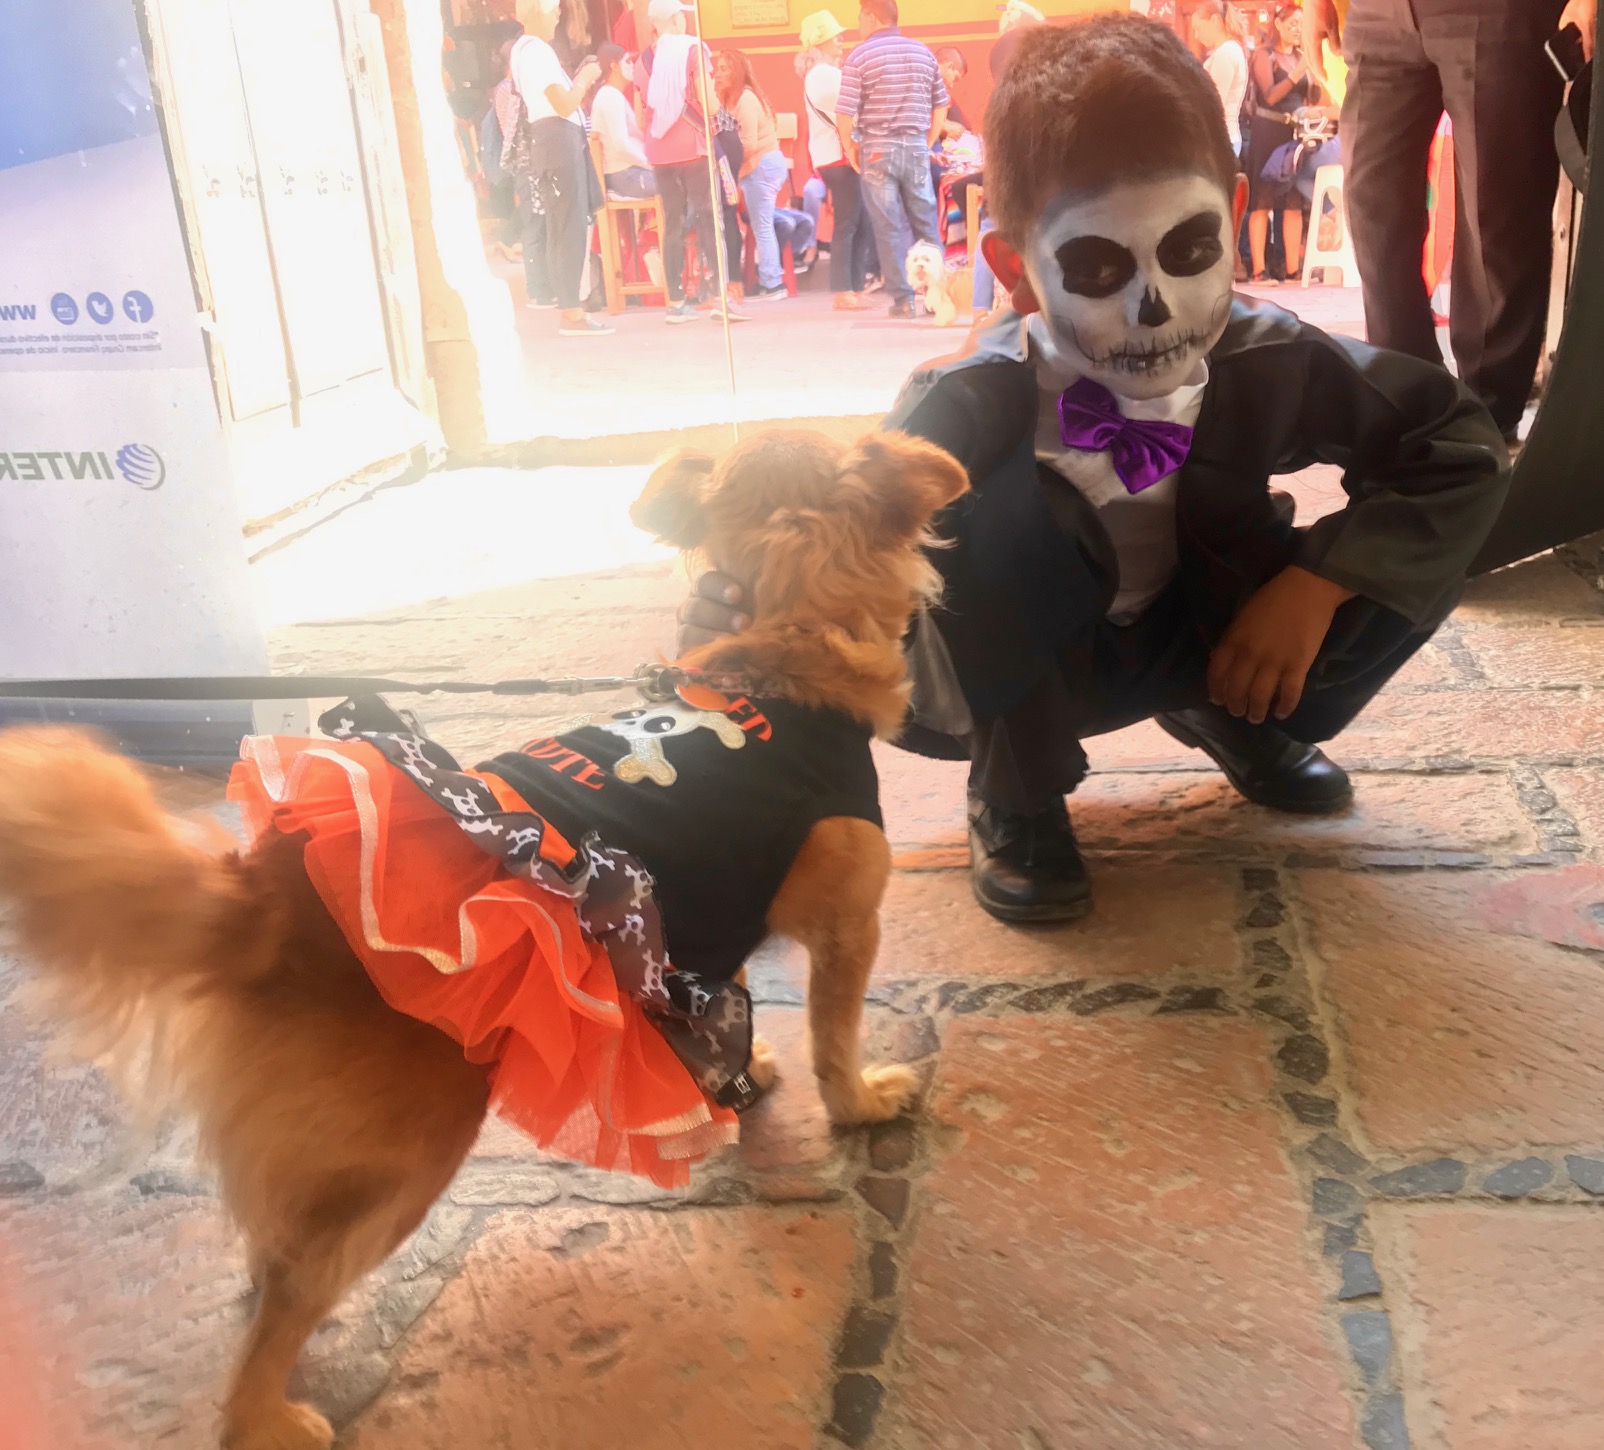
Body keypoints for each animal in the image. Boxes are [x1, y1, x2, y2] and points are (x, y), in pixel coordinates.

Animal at [0, 428, 968, 1450]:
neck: (770, 651)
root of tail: (268, 896)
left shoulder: (705, 917)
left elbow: (715, 995)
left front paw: (739, 1075)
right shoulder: (849, 927)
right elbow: (834, 1040)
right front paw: (856, 1100)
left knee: (272, 1256)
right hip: (399, 1164)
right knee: (290, 1295)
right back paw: (265, 1416)